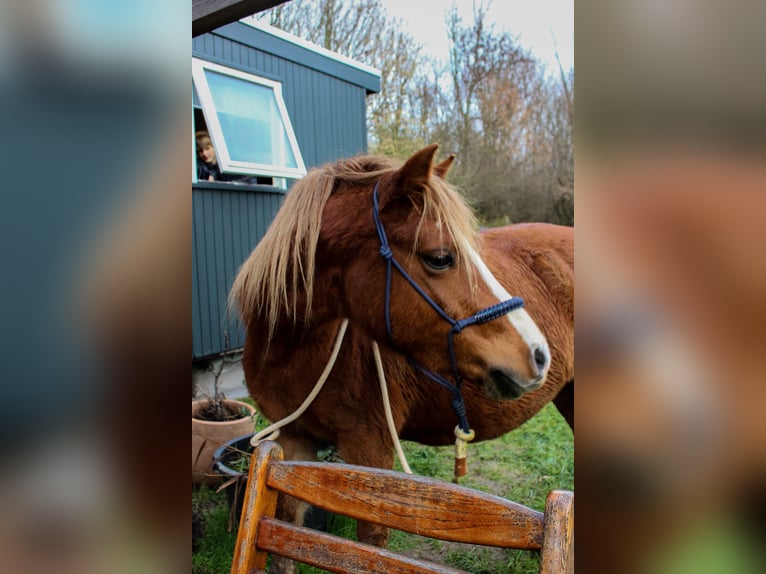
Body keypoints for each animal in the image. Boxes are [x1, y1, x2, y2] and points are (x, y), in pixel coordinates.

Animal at [231, 147, 572, 568]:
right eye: (440, 258)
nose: (539, 354)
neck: (295, 351)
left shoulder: (369, 451)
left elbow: (371, 540)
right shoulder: (292, 441)